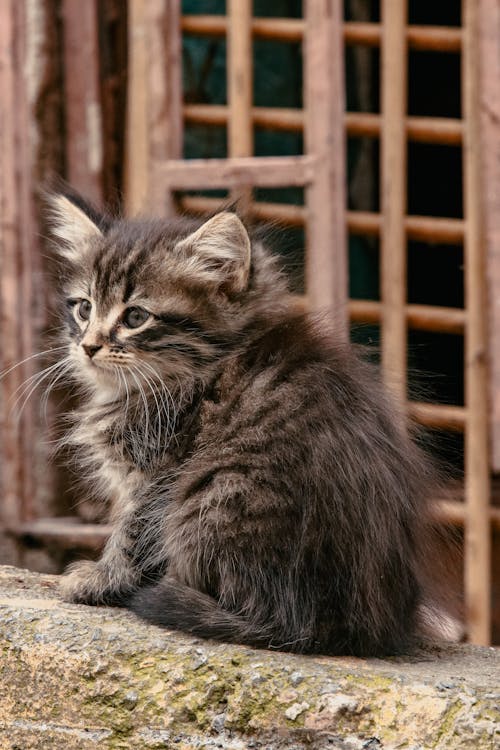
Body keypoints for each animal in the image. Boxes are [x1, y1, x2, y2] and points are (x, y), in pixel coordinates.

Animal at [50, 191, 440, 656]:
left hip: (217, 493)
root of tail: (325, 628)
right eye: (84, 308)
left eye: (135, 317)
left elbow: (131, 534)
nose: (88, 346)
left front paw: (98, 579)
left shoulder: (160, 473)